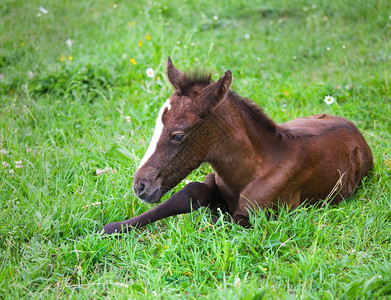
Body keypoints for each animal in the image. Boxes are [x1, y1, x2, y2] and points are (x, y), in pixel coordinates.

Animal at [101, 56, 374, 234]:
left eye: (177, 135)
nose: (140, 186)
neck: (254, 169)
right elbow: (189, 192)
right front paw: (112, 228)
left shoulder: (254, 216)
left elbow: (216, 224)